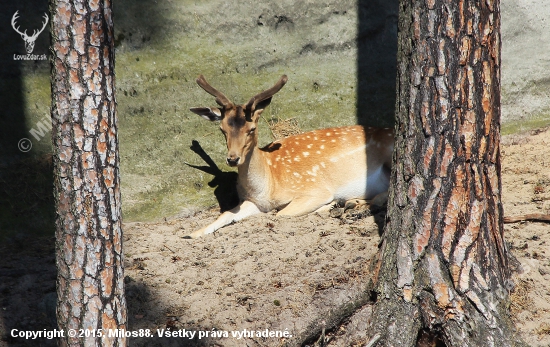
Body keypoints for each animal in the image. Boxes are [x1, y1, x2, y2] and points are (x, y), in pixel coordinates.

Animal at [188, 75, 394, 239]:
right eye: (222, 129)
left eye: (251, 129)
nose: (232, 159)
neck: (268, 184)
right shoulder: (255, 202)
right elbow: (226, 214)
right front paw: (192, 234)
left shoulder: (314, 189)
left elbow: (280, 214)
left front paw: (331, 204)